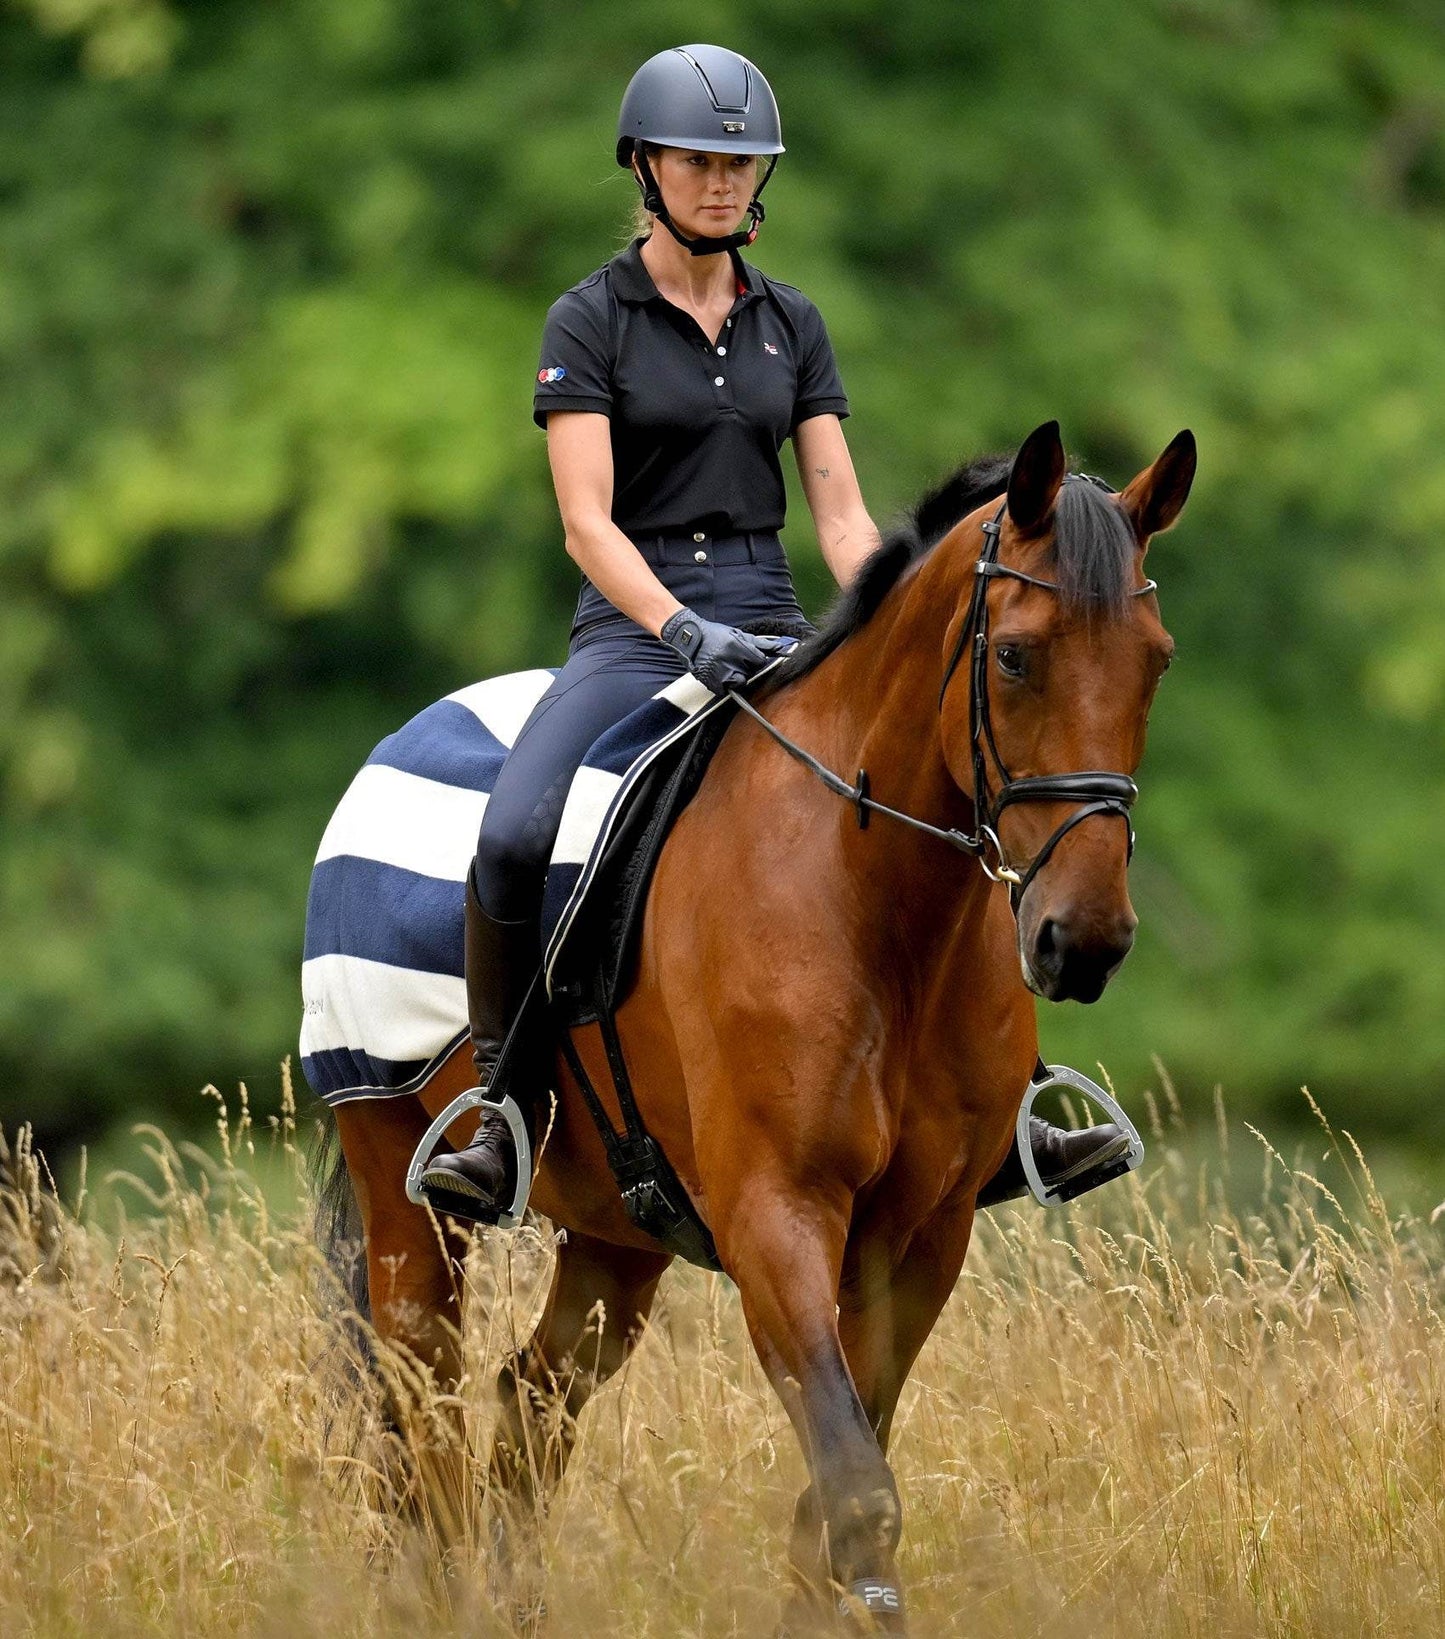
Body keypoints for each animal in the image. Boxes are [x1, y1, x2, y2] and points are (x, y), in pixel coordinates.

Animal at [312, 419, 1194, 1630]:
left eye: (1155, 658)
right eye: (1015, 656)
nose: (1085, 938)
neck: (873, 899)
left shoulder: (920, 1240)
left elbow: (837, 1490)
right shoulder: (776, 1214)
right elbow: (856, 1490)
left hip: (614, 1238)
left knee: (529, 1404)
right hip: (400, 1186)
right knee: (423, 1423)